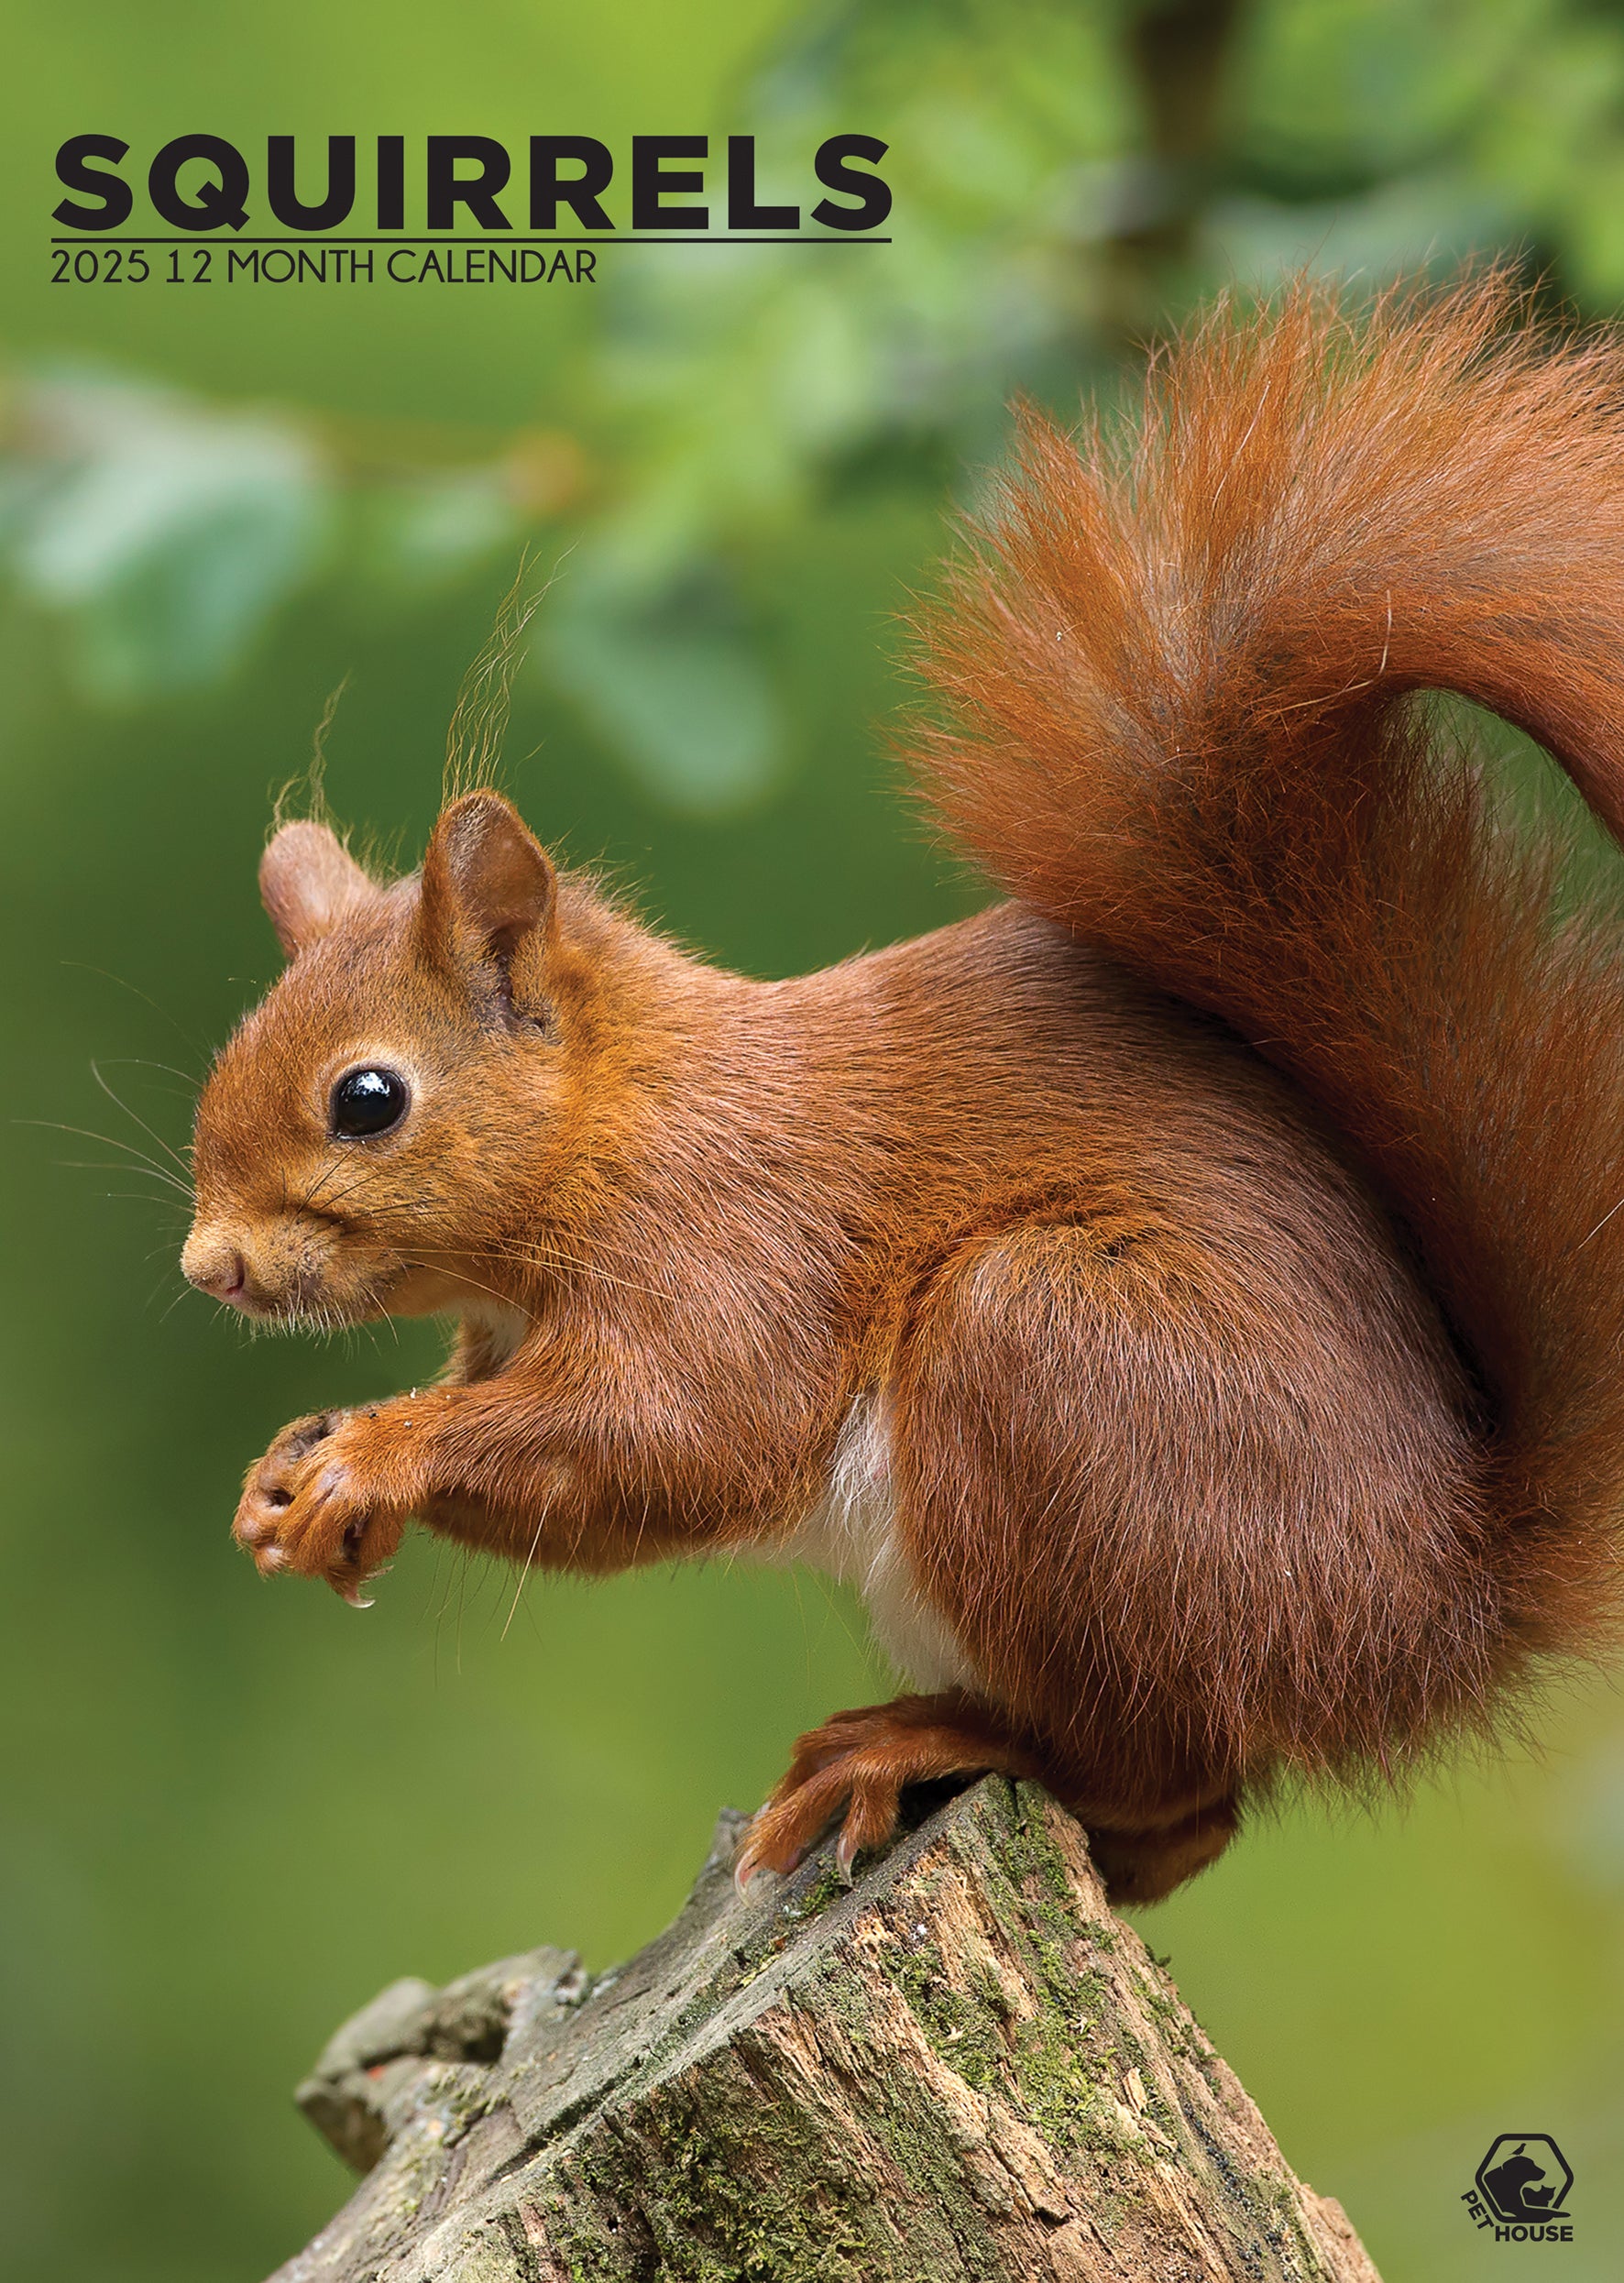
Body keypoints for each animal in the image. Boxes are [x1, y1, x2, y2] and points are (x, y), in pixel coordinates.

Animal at [182, 274, 1624, 1906]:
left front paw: (377, 1450)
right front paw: (294, 1477)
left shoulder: (736, 1243)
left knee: (1167, 1774)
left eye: (367, 1098)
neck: (622, 1127)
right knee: (1181, 1826)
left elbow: (679, 1435)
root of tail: (1431, 1616)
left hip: (1056, 1363)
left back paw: (920, 1741)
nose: (211, 1264)